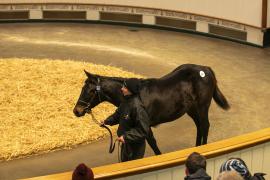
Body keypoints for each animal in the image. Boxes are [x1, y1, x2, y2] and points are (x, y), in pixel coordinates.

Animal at [73, 63, 229, 153]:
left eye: (90, 91)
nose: (77, 111)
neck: (134, 95)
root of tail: (206, 69)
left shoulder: (145, 126)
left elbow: (153, 144)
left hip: (202, 107)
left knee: (205, 126)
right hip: (191, 109)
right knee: (199, 127)